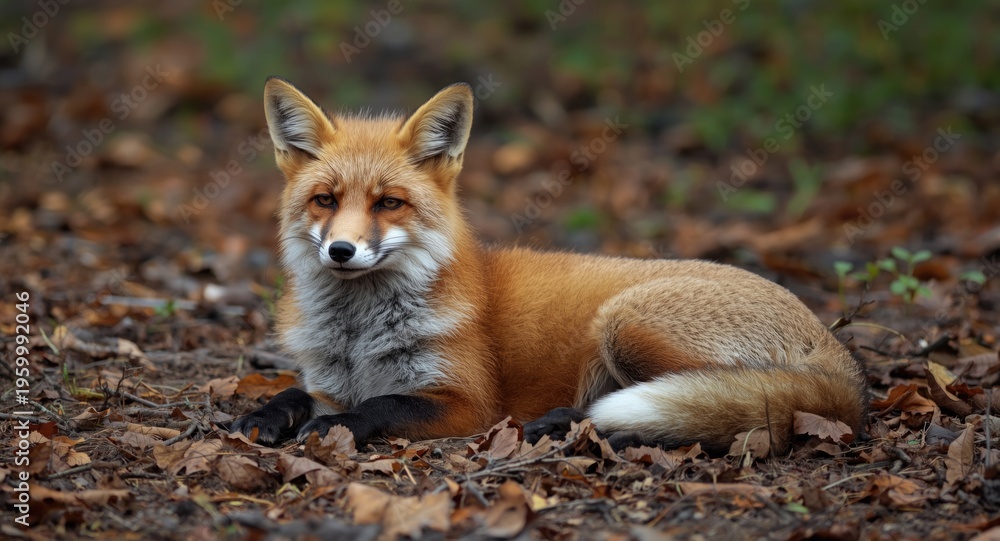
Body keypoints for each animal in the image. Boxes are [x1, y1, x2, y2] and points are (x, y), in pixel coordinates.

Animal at [230, 77, 869, 454]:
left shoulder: (467, 402)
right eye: (326, 200)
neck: (358, 336)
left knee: (712, 411)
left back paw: (584, 425)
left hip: (625, 322)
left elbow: (384, 404)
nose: (340, 251)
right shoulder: (333, 383)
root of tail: (840, 358)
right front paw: (263, 416)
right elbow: (294, 391)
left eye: (388, 203)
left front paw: (333, 429)